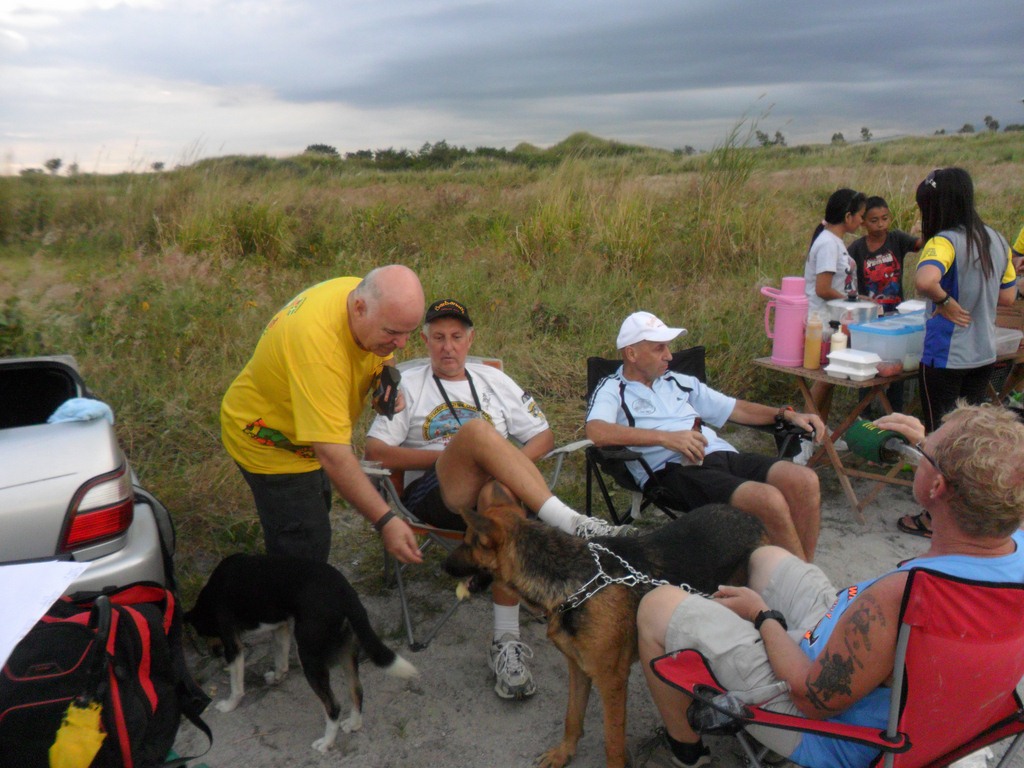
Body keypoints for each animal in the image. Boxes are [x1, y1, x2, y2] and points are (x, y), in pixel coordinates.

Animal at [184, 553, 418, 753]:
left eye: (202, 633)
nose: (213, 653)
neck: (212, 591)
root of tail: (346, 593)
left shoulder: (233, 645)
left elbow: (236, 686)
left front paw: (229, 705)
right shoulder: (281, 627)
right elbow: (281, 661)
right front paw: (277, 677)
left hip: (310, 658)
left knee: (333, 706)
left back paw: (326, 743)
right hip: (347, 652)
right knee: (357, 691)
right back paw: (354, 724)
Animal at [444, 499, 767, 768]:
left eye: (468, 542)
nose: (442, 566)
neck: (577, 582)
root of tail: (752, 518)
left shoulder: (611, 680)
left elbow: (612, 740)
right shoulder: (578, 667)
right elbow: (572, 716)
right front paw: (563, 754)